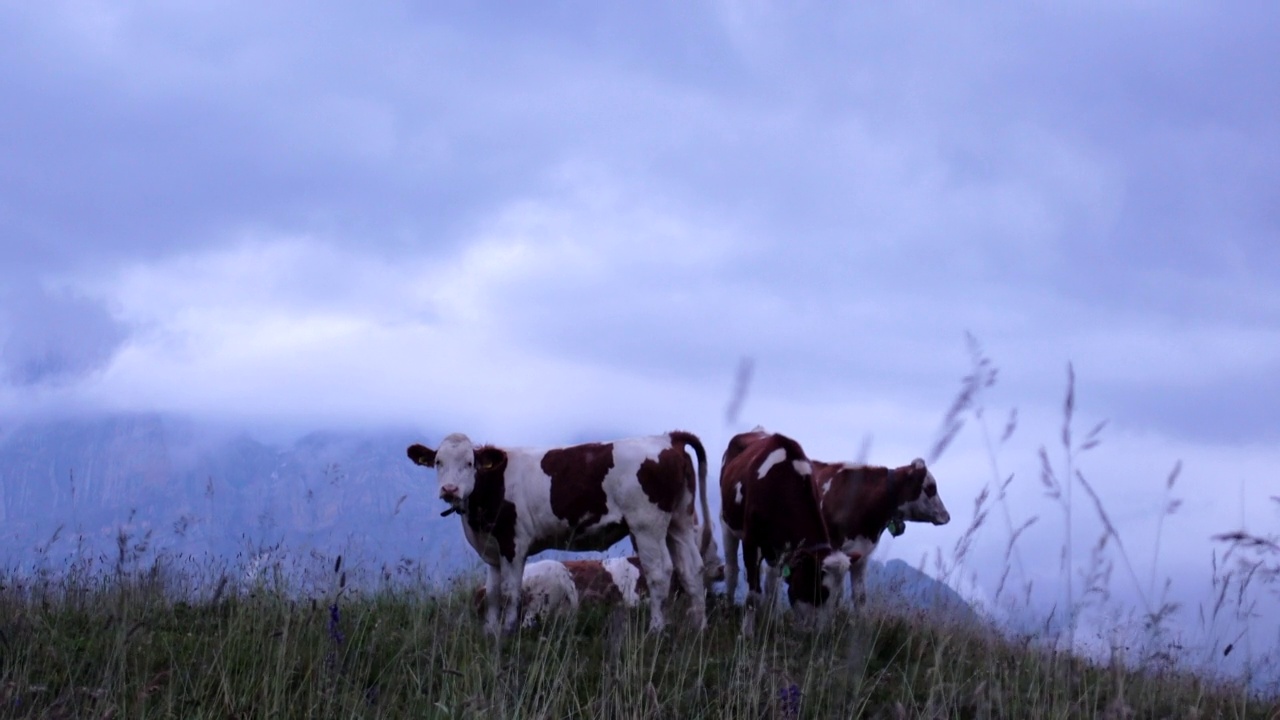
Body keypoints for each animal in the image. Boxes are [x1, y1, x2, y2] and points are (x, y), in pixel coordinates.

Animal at [407, 427, 716, 630]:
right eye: (438, 462)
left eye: (470, 463)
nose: (449, 489)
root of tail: (668, 437)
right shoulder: (492, 548)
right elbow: (493, 592)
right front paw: (490, 632)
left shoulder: (513, 543)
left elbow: (510, 590)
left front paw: (507, 631)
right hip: (680, 521)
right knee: (691, 569)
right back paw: (698, 628)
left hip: (646, 525)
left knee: (660, 572)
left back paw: (656, 630)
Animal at [721, 425, 849, 617]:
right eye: (818, 592)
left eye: (836, 600)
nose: (821, 627)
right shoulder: (751, 539)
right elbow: (753, 595)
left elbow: (773, 589)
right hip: (727, 523)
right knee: (731, 569)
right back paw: (728, 607)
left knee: (771, 580)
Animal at [808, 453, 952, 604]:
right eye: (931, 487)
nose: (947, 516)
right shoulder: (833, 555)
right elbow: (834, 595)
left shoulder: (861, 555)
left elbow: (860, 597)